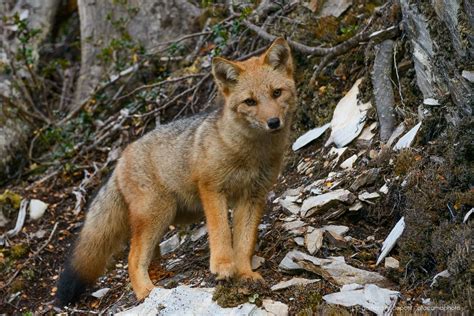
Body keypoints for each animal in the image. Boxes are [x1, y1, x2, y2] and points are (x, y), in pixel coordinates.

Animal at [55, 37, 296, 306]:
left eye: (276, 93)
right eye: (250, 101)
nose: (273, 122)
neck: (250, 154)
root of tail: (121, 158)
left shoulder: (253, 196)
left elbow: (244, 243)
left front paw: (245, 274)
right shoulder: (212, 189)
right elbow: (222, 232)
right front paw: (223, 266)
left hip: (167, 216)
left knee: (150, 255)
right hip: (158, 213)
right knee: (132, 258)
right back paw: (146, 291)